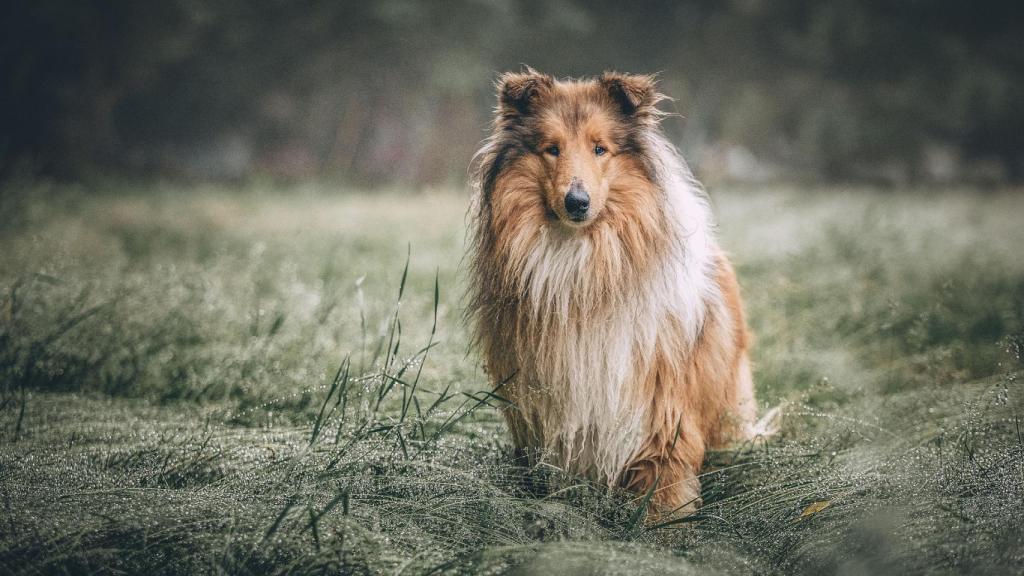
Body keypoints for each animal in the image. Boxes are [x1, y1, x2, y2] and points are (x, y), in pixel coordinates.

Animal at [468, 69, 765, 512]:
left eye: (600, 149)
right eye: (551, 149)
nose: (576, 202)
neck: (581, 265)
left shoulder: (661, 417)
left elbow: (663, 492)